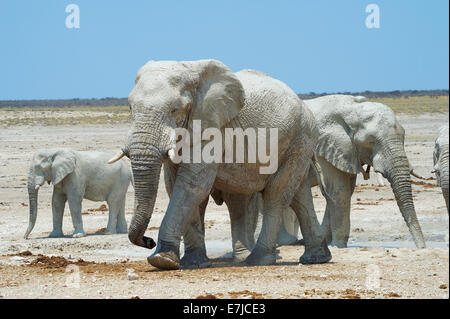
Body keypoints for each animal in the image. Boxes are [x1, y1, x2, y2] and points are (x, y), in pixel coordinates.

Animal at [109, 59, 330, 270]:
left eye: (174, 109)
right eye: (130, 108)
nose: (148, 241)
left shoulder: (212, 127)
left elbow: (192, 185)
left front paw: (162, 261)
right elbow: (177, 186)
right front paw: (193, 263)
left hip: (300, 138)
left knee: (276, 194)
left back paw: (257, 260)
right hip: (298, 143)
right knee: (299, 194)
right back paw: (317, 258)